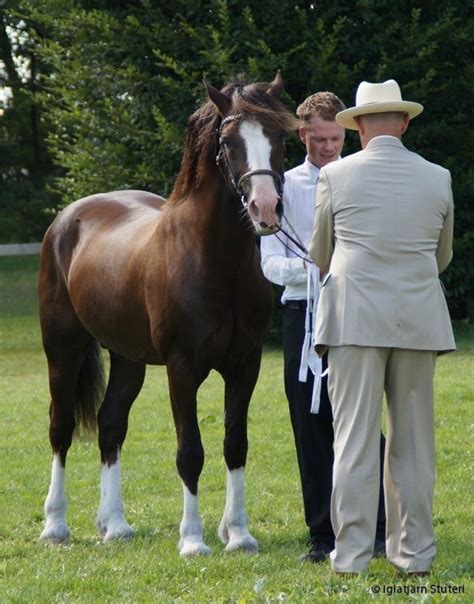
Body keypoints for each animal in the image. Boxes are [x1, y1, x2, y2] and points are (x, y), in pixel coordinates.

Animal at [39, 73, 296, 556]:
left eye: (279, 137)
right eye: (229, 141)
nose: (266, 208)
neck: (215, 260)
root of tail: (67, 218)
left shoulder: (244, 365)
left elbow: (235, 444)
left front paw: (239, 534)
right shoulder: (182, 367)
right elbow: (189, 452)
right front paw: (193, 540)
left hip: (128, 359)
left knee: (110, 426)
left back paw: (115, 525)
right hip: (63, 349)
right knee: (61, 429)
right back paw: (55, 526)